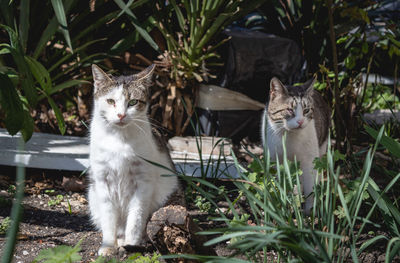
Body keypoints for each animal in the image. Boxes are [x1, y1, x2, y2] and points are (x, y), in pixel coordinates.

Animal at [90, 64, 179, 256]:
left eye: (133, 102)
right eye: (110, 101)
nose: (121, 115)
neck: (119, 139)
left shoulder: (143, 181)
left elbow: (136, 217)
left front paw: (131, 243)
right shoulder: (103, 180)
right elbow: (109, 218)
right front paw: (108, 246)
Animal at [260, 77, 330, 213]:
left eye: (306, 110)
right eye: (289, 110)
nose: (300, 121)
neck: (289, 136)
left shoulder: (309, 161)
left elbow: (310, 189)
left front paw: (309, 213)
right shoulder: (274, 159)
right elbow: (281, 184)